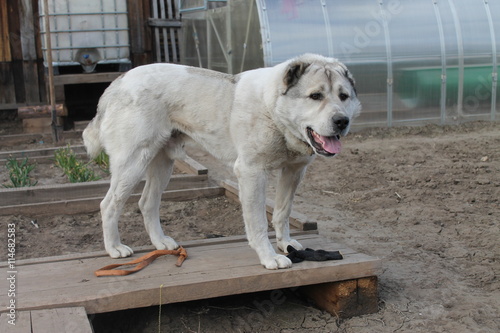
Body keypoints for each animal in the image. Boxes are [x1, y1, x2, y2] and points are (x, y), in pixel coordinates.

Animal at [84, 53, 362, 268]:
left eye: (343, 96)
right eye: (315, 96)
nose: (342, 121)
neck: (272, 110)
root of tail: (118, 82)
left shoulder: (294, 171)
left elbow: (282, 212)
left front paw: (286, 245)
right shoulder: (251, 172)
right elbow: (258, 222)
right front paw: (269, 257)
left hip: (162, 163)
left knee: (147, 203)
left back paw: (161, 242)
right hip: (132, 163)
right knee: (108, 205)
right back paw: (115, 248)